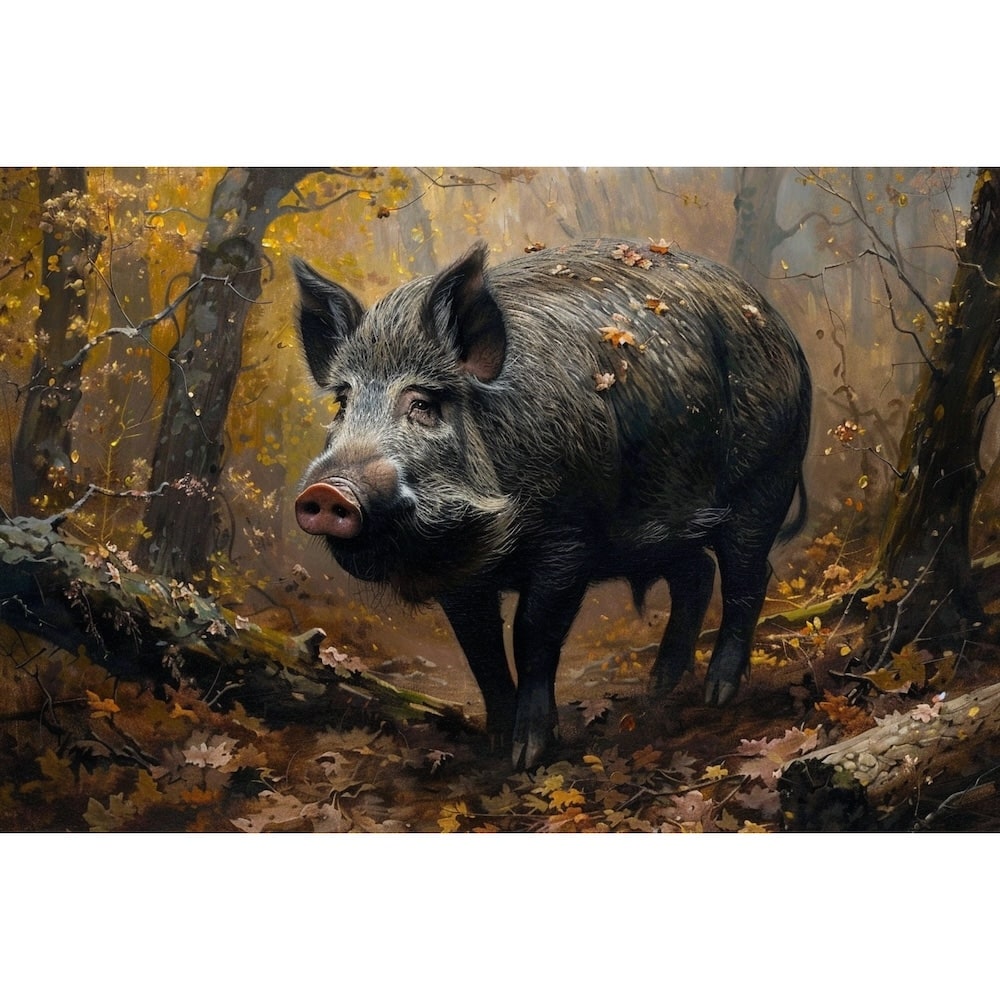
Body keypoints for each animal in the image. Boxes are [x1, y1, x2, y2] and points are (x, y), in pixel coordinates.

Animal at [292, 238, 811, 769]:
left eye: (422, 404)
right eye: (342, 403)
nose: (327, 491)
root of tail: (778, 325)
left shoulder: (568, 540)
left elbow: (532, 634)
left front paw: (528, 755)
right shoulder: (461, 577)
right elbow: (480, 650)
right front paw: (496, 746)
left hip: (767, 473)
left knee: (748, 574)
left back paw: (718, 694)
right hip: (661, 528)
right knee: (697, 574)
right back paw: (659, 690)